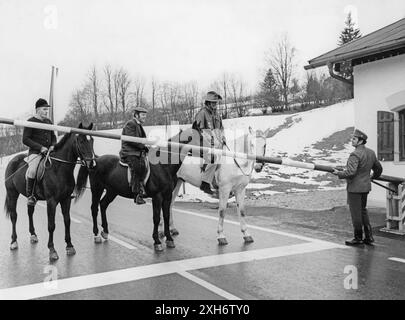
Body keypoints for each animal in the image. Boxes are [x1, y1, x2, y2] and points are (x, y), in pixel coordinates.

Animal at [4, 122, 95, 260]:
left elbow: (67, 221)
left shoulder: (66, 199)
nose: (91, 164)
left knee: (30, 212)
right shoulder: (51, 202)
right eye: (81, 140)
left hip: (30, 197)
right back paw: (14, 242)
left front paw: (69, 246)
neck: (59, 168)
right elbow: (51, 225)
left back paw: (33, 235)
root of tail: (13, 160)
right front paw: (52, 250)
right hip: (12, 194)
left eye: (92, 140)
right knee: (14, 216)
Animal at [74, 126, 216, 251]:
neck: (163, 165)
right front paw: (157, 242)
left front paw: (169, 239)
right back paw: (97, 234)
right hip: (97, 189)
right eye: (201, 138)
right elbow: (156, 218)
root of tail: (96, 160)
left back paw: (105, 232)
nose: (213, 156)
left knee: (103, 205)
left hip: (112, 191)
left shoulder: (167, 195)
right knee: (94, 208)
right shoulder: (157, 196)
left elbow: (165, 215)